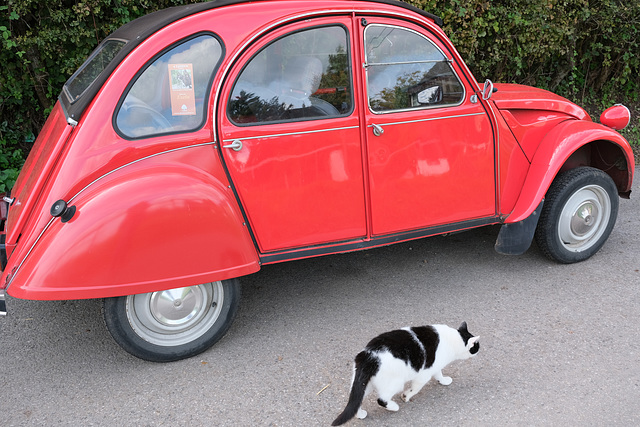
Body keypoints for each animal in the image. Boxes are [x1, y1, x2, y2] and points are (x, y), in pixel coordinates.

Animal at [332, 322, 478, 426]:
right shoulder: (424, 374)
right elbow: (415, 388)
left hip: (364, 384)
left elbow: (439, 374)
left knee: (356, 399)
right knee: (381, 399)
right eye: (477, 346)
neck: (454, 339)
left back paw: (360, 414)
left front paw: (443, 381)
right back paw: (394, 407)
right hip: (395, 383)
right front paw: (406, 396)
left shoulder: (434, 366)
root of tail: (369, 356)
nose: (478, 350)